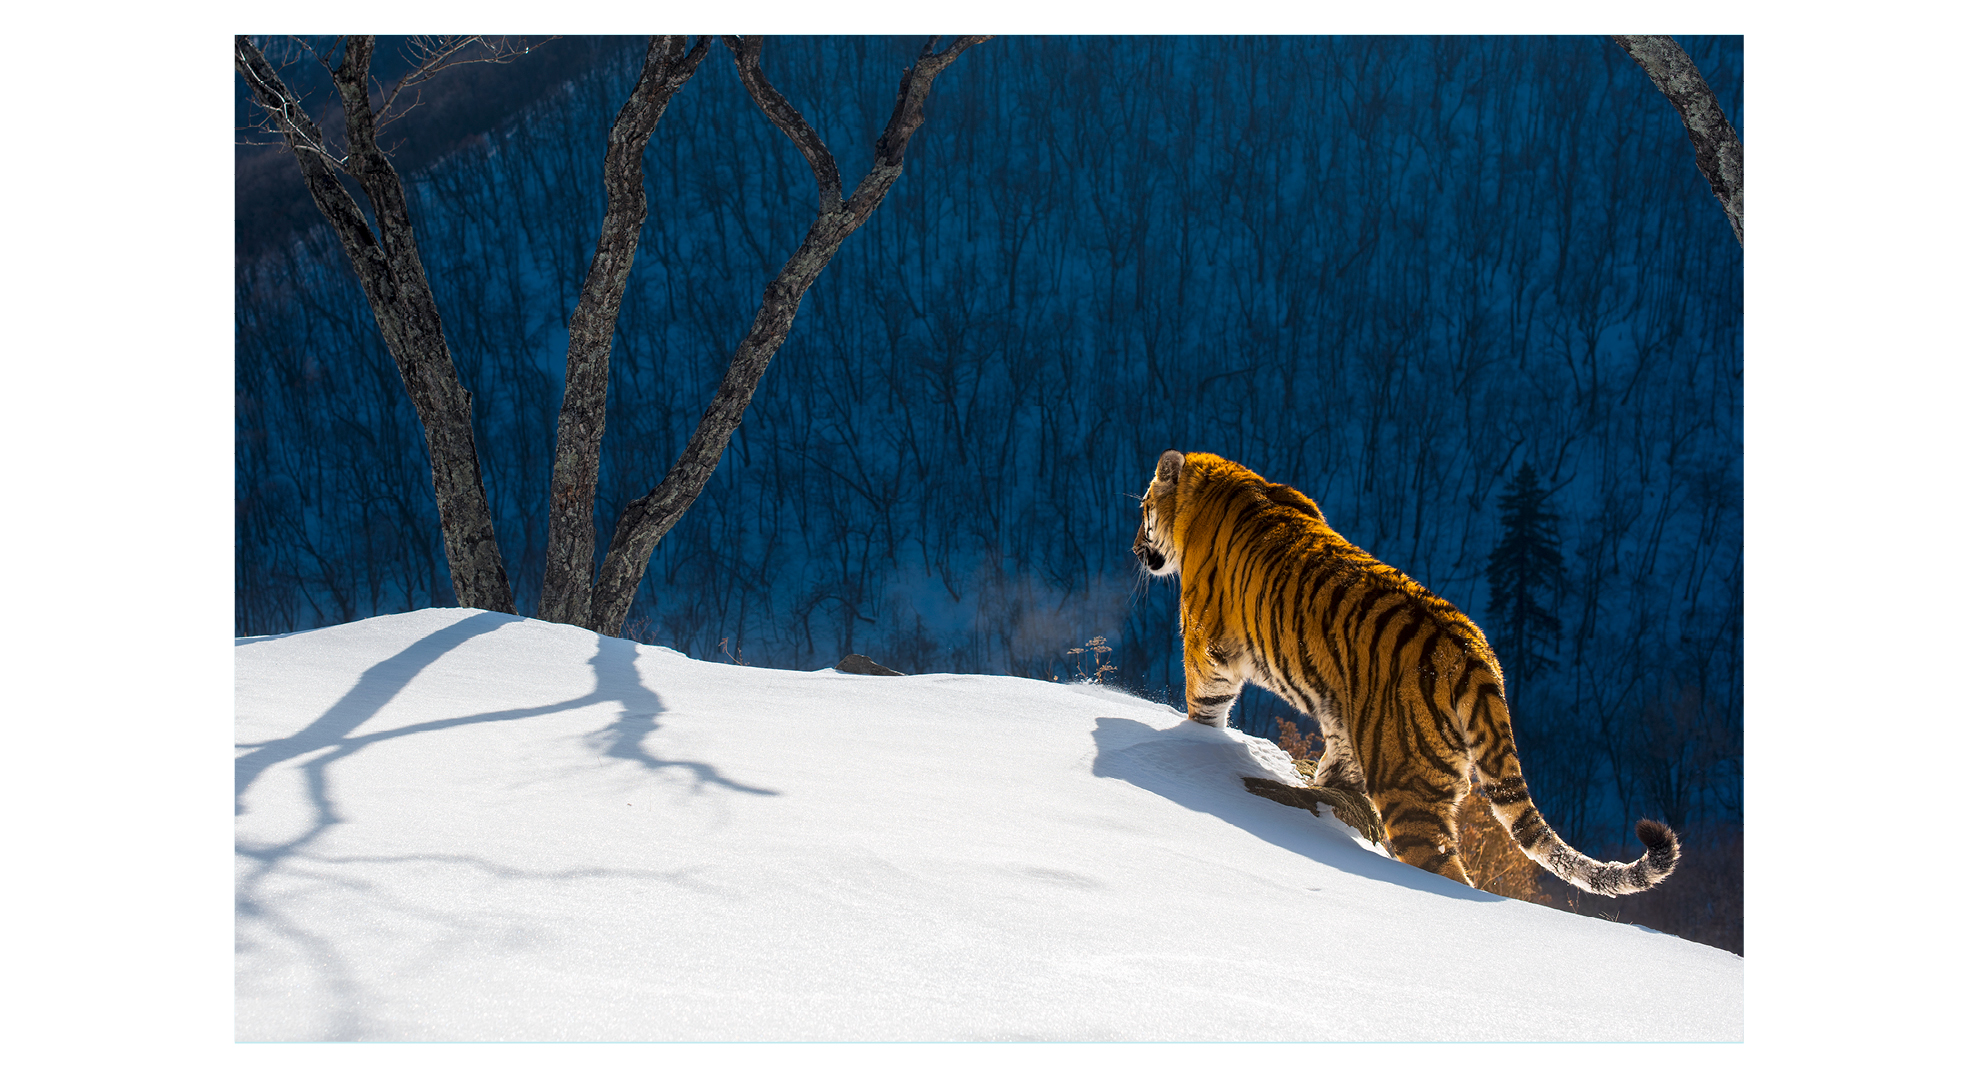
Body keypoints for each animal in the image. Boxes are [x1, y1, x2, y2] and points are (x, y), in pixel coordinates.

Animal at [1140, 445, 1679, 891]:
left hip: (1408, 787)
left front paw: (1196, 743)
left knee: (1447, 870)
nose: (1135, 549)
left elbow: (1205, 707)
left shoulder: (1209, 647)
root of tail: (1473, 653)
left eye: (1142, 508)